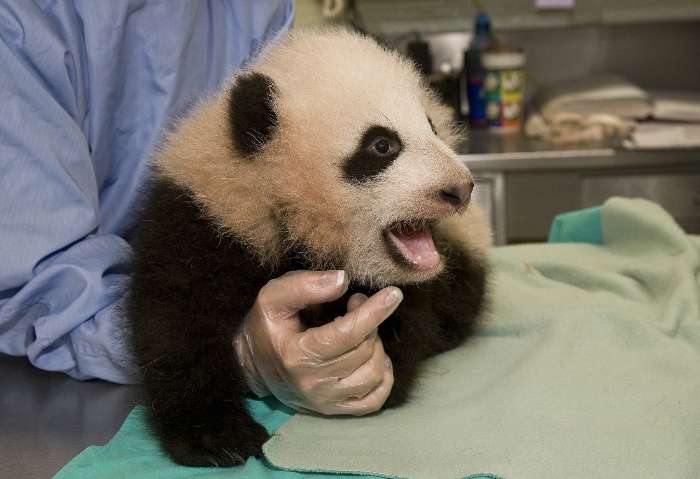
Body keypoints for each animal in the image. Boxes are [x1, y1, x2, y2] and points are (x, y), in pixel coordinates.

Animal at [127, 28, 491, 467]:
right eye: (381, 145)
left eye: (433, 128)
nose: (459, 189)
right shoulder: (207, 214)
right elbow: (175, 316)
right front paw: (215, 436)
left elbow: (412, 318)